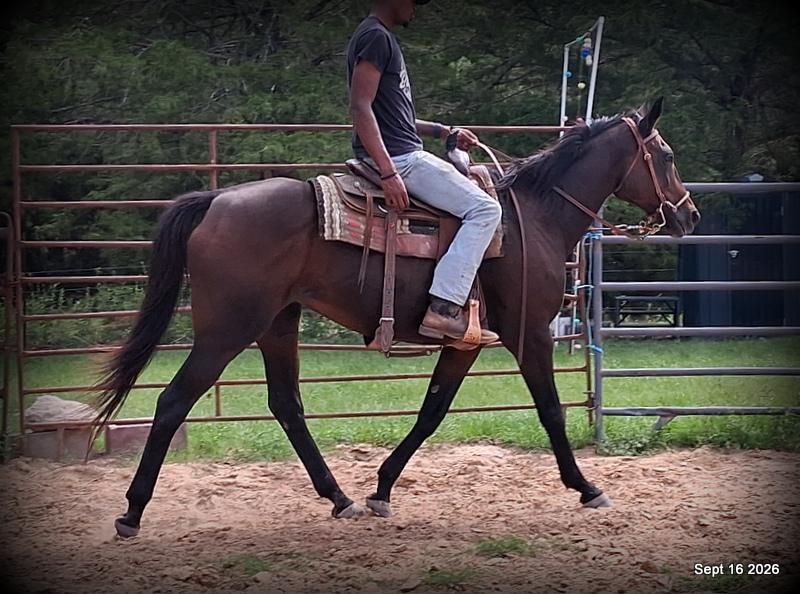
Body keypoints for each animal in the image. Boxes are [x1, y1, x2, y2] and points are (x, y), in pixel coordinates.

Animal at [94, 98, 700, 537]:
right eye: (667, 156)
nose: (689, 215)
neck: (536, 216)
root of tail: (216, 201)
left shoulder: (464, 342)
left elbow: (431, 412)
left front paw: (381, 489)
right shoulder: (529, 336)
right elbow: (550, 411)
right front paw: (587, 487)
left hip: (277, 323)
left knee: (286, 405)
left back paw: (339, 498)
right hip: (227, 330)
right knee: (173, 402)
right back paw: (131, 513)